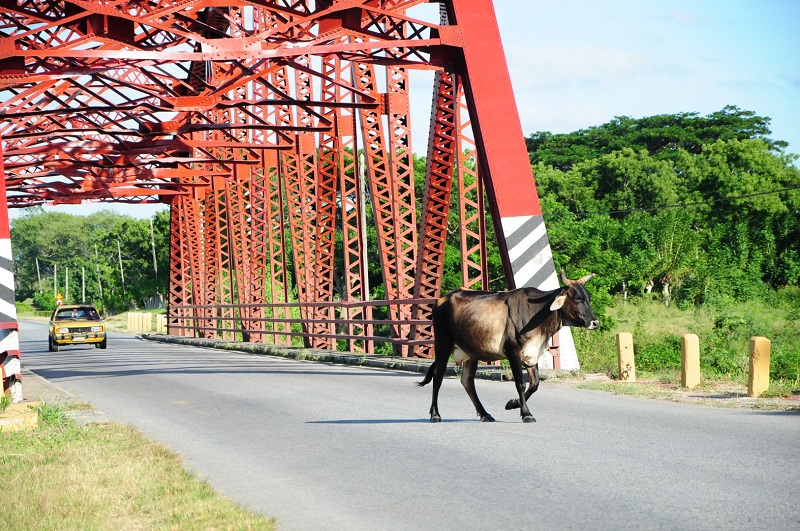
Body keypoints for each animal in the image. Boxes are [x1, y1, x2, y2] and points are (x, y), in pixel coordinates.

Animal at [418, 272, 600, 422]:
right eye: (577, 297)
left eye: (588, 297)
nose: (594, 322)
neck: (536, 313)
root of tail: (443, 298)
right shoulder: (512, 352)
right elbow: (520, 383)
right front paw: (526, 414)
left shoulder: (532, 353)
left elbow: (534, 384)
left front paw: (513, 403)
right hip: (443, 345)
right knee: (438, 376)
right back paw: (435, 414)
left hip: (471, 353)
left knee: (467, 381)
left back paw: (485, 414)